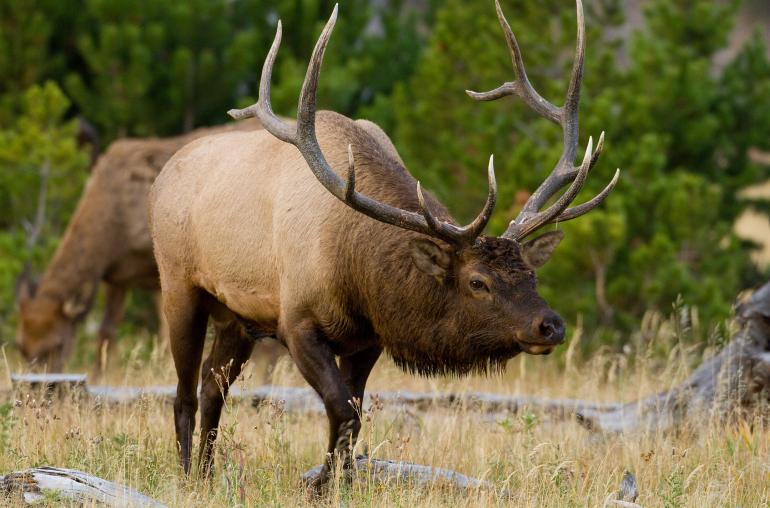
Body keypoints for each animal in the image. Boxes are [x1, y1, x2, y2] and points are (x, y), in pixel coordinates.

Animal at [14, 120, 270, 372]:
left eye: (57, 345)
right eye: (21, 348)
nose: (43, 382)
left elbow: (167, 333)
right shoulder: (116, 276)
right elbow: (106, 331)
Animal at [148, 0, 616, 488]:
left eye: (530, 273)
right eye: (477, 282)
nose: (551, 326)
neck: (356, 269)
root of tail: (164, 175)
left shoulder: (366, 339)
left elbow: (352, 419)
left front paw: (339, 483)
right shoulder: (297, 323)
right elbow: (343, 413)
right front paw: (320, 485)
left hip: (237, 317)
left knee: (211, 387)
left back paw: (205, 474)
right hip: (179, 285)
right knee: (183, 391)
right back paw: (186, 475)